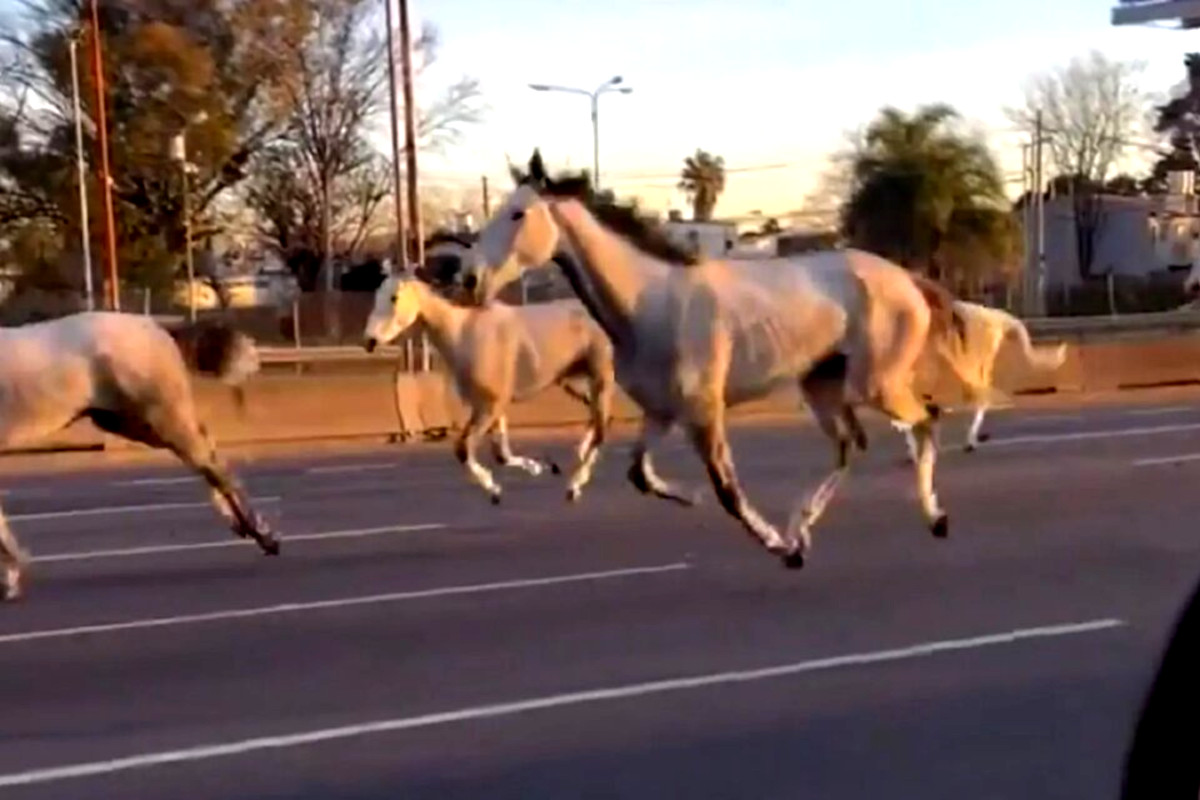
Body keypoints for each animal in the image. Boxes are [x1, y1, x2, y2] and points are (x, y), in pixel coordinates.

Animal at [0, 312, 280, 601]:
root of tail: (159, 328)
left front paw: (11, 579)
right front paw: (12, 579)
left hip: (159, 416)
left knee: (211, 465)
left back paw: (263, 534)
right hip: (131, 422)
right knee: (207, 450)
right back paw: (245, 526)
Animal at [363, 271, 614, 504]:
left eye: (394, 297)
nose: (369, 341)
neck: (464, 334)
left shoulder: (490, 406)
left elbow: (463, 448)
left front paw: (494, 490)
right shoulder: (488, 407)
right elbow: (501, 454)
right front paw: (539, 467)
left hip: (601, 377)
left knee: (602, 429)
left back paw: (575, 485)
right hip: (572, 382)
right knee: (599, 419)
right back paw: (579, 452)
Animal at [466, 150, 971, 569]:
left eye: (517, 213)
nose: (469, 276)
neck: (650, 302)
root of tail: (907, 279)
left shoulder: (705, 412)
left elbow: (726, 489)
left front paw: (777, 546)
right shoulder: (662, 412)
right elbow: (639, 474)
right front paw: (692, 498)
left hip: (876, 382)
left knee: (925, 420)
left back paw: (934, 517)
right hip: (822, 384)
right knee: (853, 444)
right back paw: (804, 529)